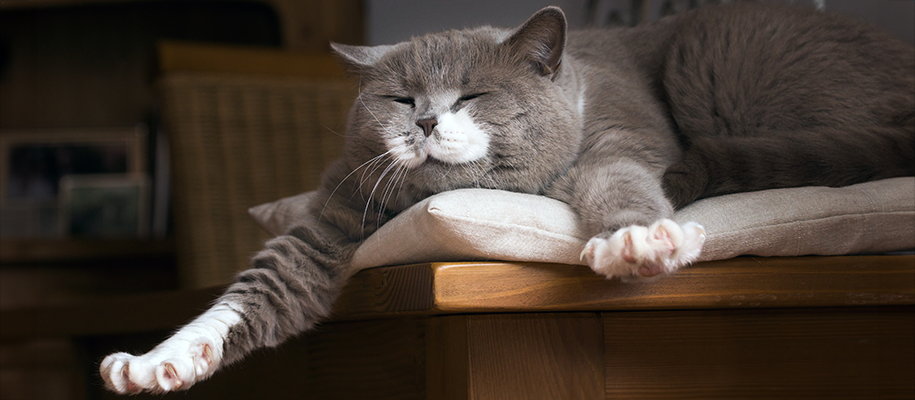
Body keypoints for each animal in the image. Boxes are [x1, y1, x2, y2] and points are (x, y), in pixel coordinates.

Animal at [102, 1, 915, 392]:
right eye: (399, 99)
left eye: (471, 94)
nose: (426, 120)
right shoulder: (335, 210)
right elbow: (260, 288)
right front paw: (156, 363)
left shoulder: (620, 134)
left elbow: (621, 180)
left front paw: (634, 242)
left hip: (716, 63)